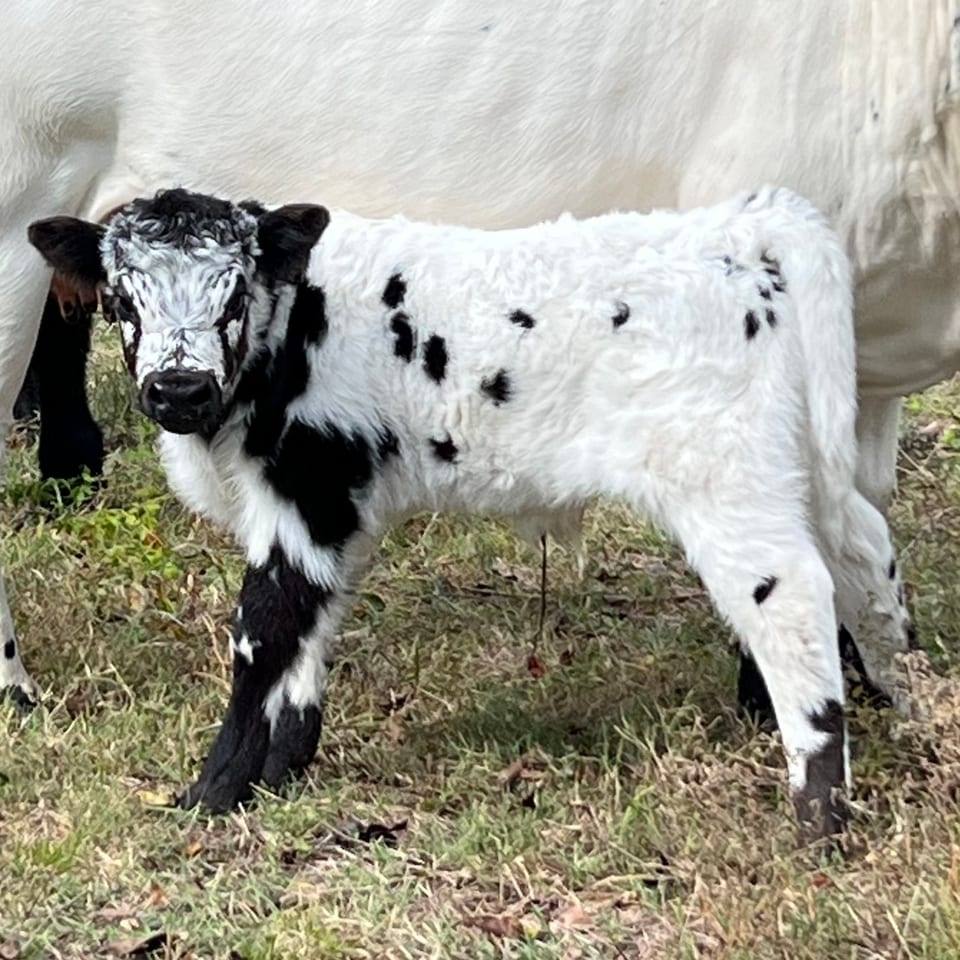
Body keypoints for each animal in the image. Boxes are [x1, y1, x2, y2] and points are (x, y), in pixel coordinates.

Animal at [27, 185, 915, 840]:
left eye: (235, 291)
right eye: (120, 296)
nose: (178, 389)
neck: (294, 325)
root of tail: (739, 229)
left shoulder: (309, 490)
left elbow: (263, 629)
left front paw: (212, 793)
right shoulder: (335, 508)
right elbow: (311, 624)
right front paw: (283, 772)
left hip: (725, 477)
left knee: (789, 594)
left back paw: (818, 817)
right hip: (800, 462)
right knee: (864, 551)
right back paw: (909, 704)